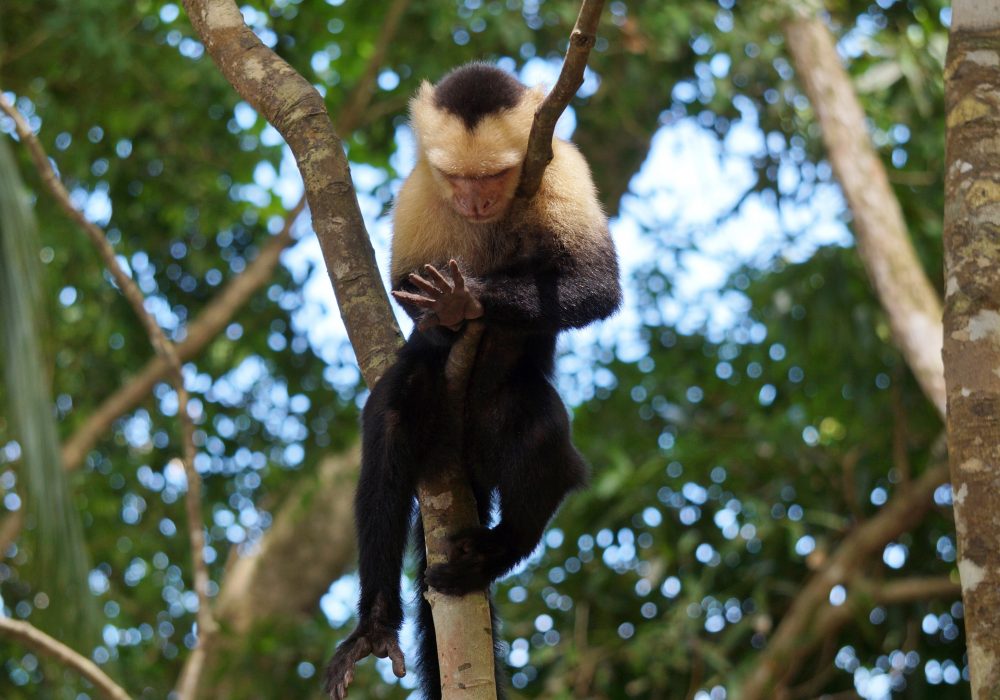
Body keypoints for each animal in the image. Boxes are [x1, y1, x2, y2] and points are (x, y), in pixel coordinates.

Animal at [328, 64, 620, 700]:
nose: (475, 201)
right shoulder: (420, 187)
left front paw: (472, 299)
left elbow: (597, 285)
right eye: (457, 179)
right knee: (392, 415)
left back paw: (501, 548)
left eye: (493, 176)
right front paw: (444, 322)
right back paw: (375, 621)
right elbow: (404, 284)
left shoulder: (561, 166)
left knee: (538, 432)